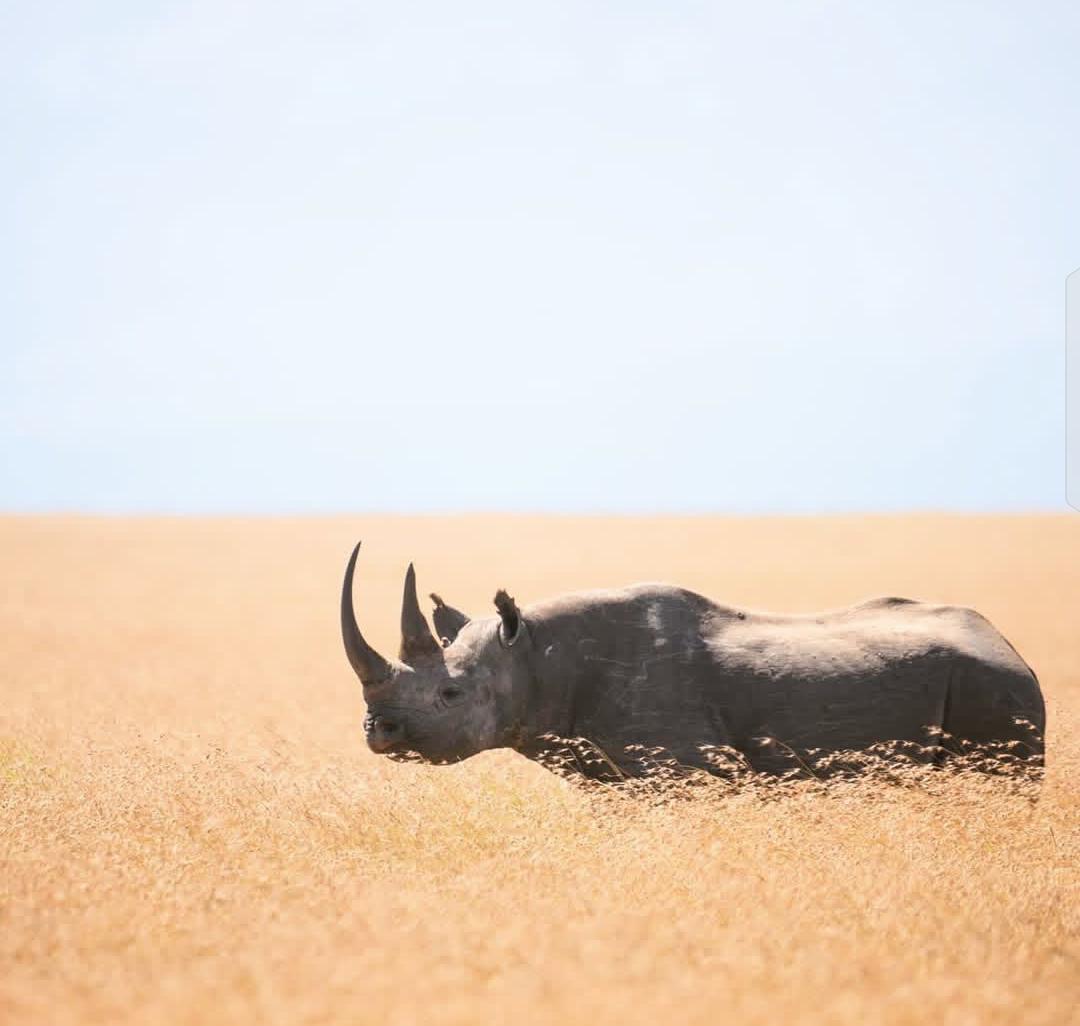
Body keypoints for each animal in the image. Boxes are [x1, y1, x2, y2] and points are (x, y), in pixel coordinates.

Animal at [340, 543, 1045, 776]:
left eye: (451, 696)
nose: (379, 731)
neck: (535, 655)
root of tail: (1010, 644)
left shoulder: (683, 770)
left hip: (993, 686)